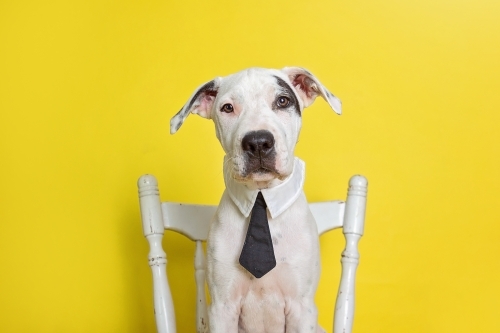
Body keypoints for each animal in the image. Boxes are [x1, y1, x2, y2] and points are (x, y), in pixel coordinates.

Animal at [171, 67, 340, 332]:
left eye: (283, 101)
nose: (258, 142)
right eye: (227, 108)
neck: (261, 196)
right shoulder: (222, 307)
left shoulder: (301, 307)